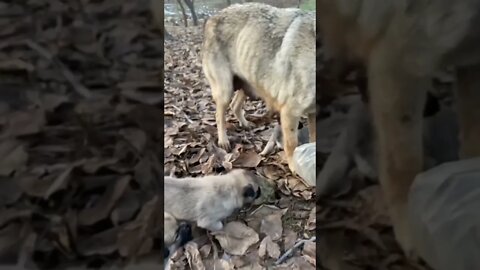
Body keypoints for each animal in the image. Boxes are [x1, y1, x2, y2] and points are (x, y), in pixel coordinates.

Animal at [202, 3, 316, 172]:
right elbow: (292, 144)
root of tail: (212, 17)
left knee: (235, 105)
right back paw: (223, 140)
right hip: (225, 90)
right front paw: (294, 166)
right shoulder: (290, 112)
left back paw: (245, 124)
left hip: (248, 84)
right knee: (219, 115)